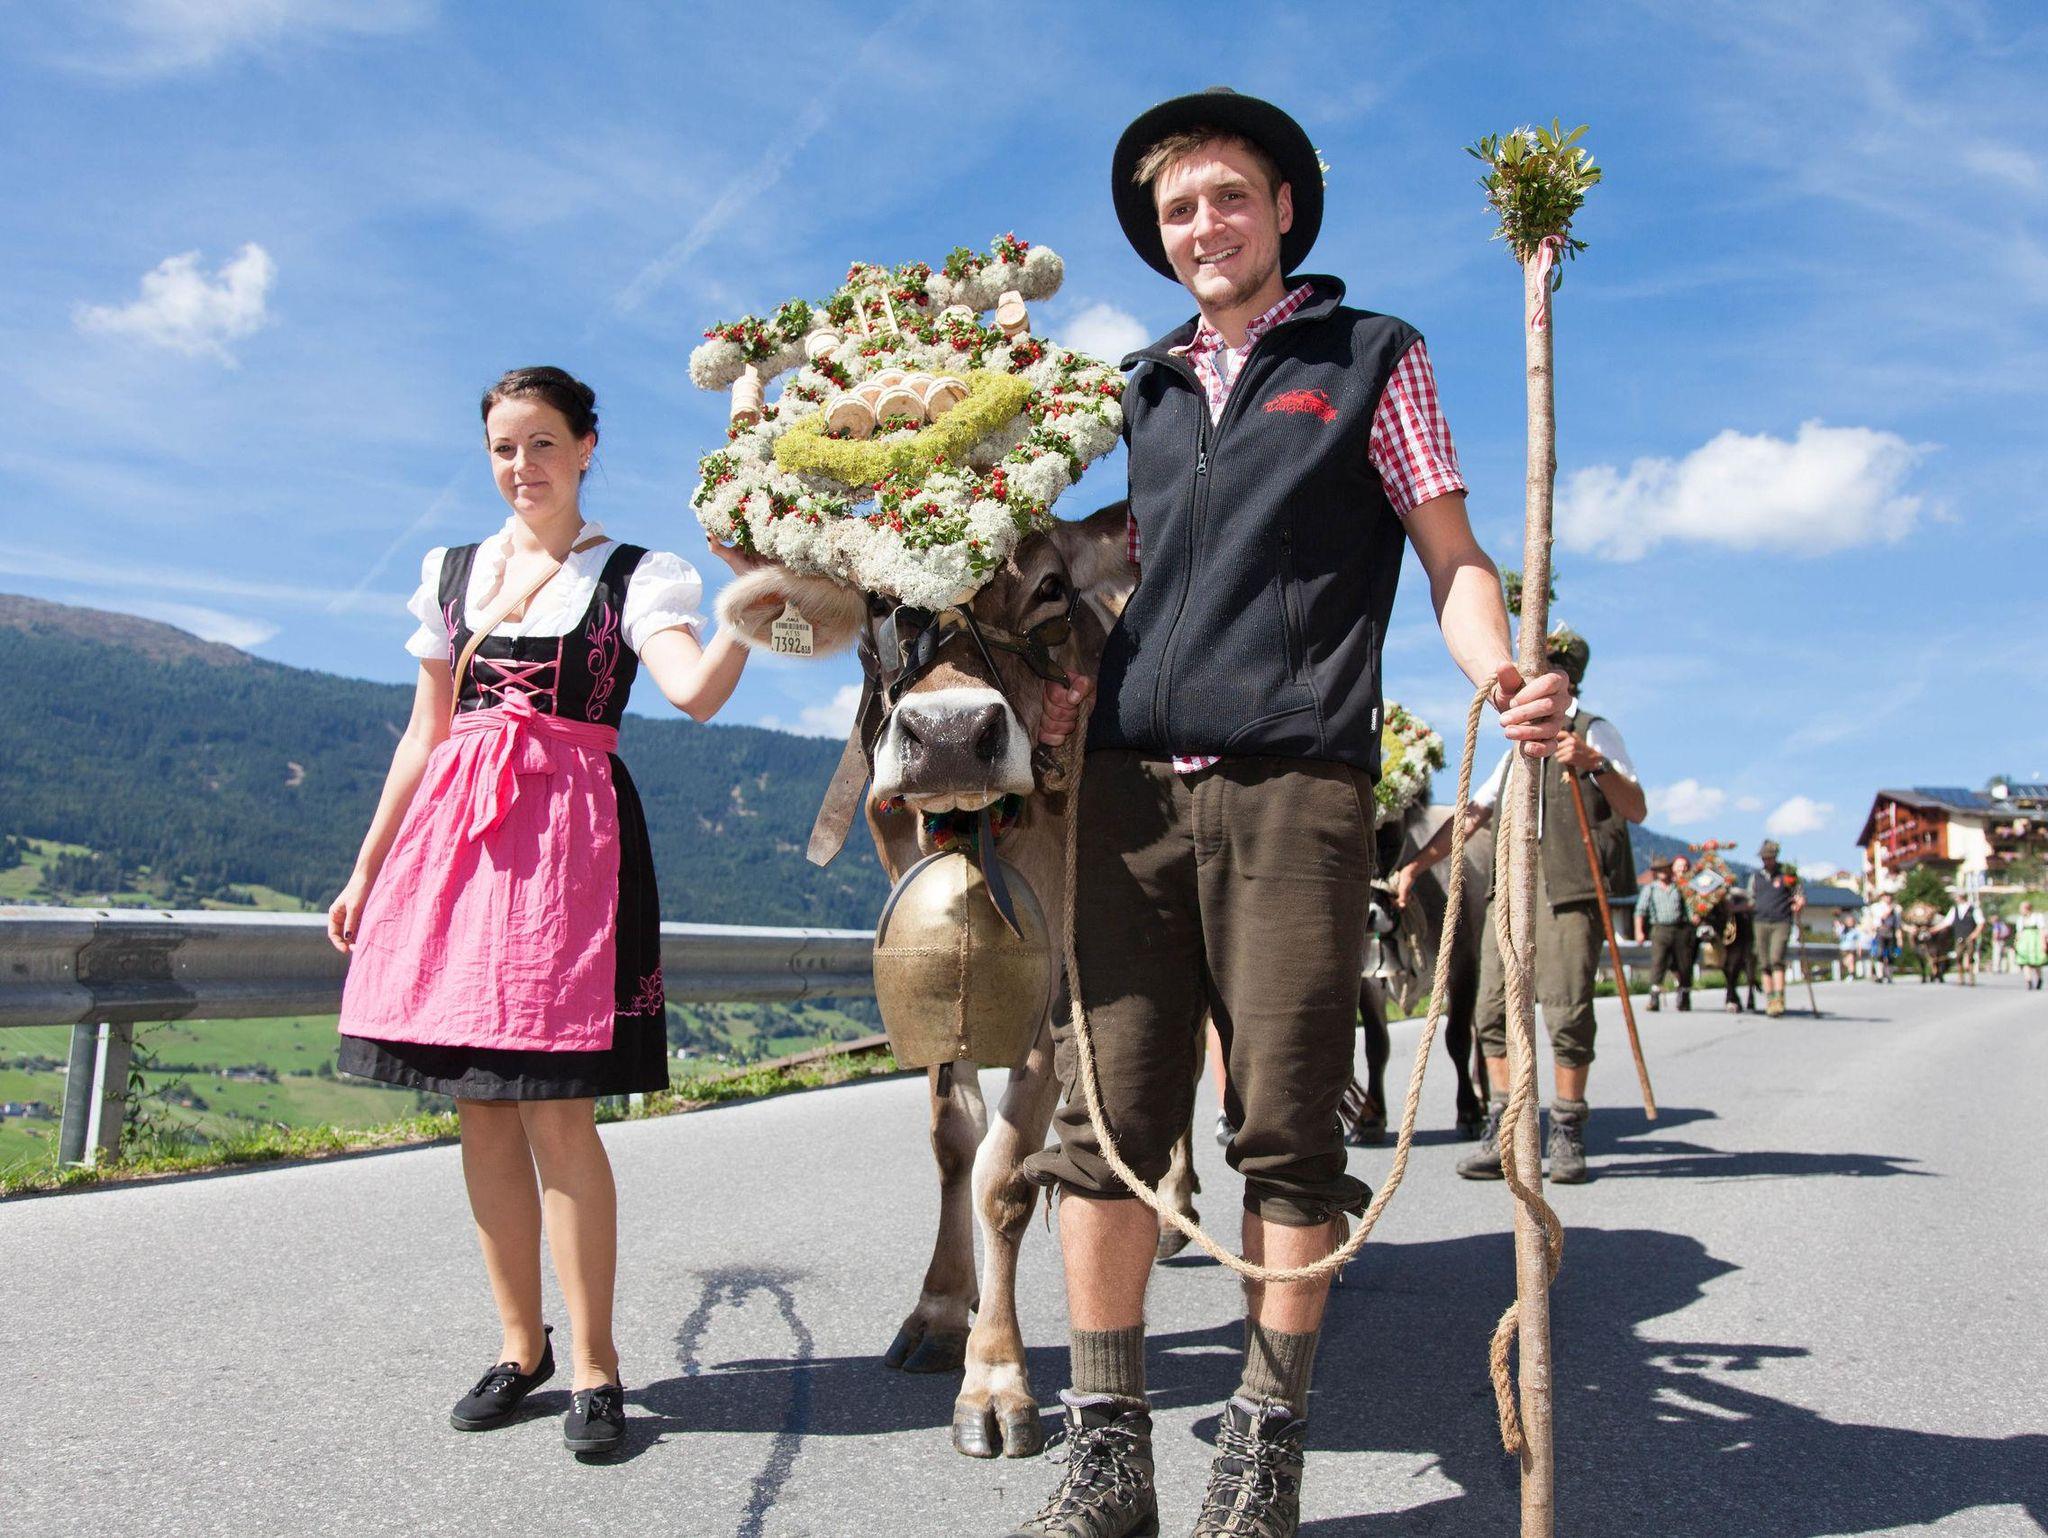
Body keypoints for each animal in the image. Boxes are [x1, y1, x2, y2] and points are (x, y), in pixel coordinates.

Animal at [716, 502, 1135, 1460]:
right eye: (877, 599)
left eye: (1049, 586)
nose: (948, 737)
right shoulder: (927, 950)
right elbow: (953, 1138)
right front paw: (942, 1314)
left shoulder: (1053, 971)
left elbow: (1004, 1174)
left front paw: (996, 1382)